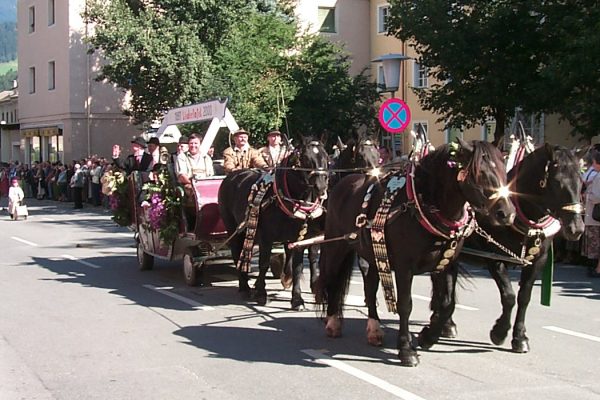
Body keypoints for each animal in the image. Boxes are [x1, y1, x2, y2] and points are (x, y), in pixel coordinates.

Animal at [217, 136, 328, 308]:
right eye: (305, 158)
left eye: (326, 157)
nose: (321, 186)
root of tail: (230, 177)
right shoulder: (266, 237)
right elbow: (263, 262)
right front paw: (261, 293)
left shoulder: (300, 238)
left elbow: (298, 267)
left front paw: (297, 299)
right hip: (233, 228)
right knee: (237, 252)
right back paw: (244, 286)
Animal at [316, 139, 516, 368]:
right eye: (479, 173)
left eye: (503, 169)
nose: (507, 214)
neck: (423, 206)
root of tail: (342, 183)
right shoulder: (405, 268)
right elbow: (405, 305)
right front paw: (406, 349)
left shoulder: (446, 265)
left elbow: (447, 303)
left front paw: (428, 336)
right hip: (336, 248)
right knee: (333, 280)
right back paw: (332, 321)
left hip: (373, 256)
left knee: (370, 287)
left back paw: (374, 330)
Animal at [426, 144, 584, 354]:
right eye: (557, 182)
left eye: (581, 182)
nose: (577, 228)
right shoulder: (494, 257)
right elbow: (508, 296)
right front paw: (499, 332)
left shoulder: (537, 261)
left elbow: (524, 297)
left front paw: (520, 337)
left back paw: (445, 322)